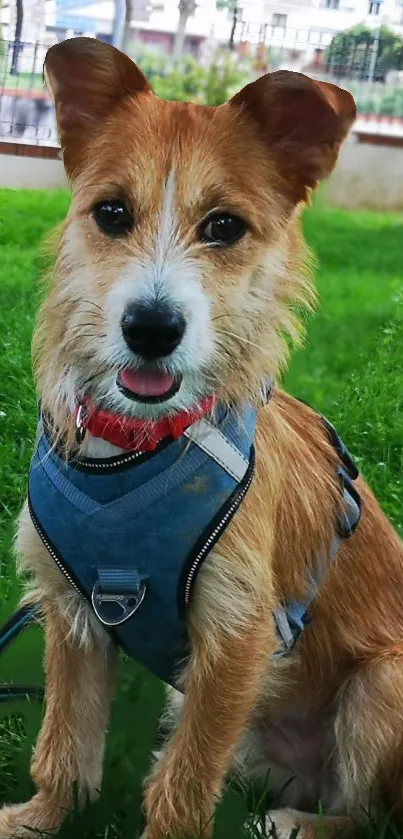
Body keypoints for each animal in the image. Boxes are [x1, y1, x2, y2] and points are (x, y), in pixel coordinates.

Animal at [0, 36, 403, 839]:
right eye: (111, 213)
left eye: (224, 227)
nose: (152, 329)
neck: (136, 446)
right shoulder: (72, 614)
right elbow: (64, 743)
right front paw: (37, 819)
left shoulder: (238, 637)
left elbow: (182, 787)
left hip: (382, 681)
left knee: (366, 812)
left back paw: (303, 823)